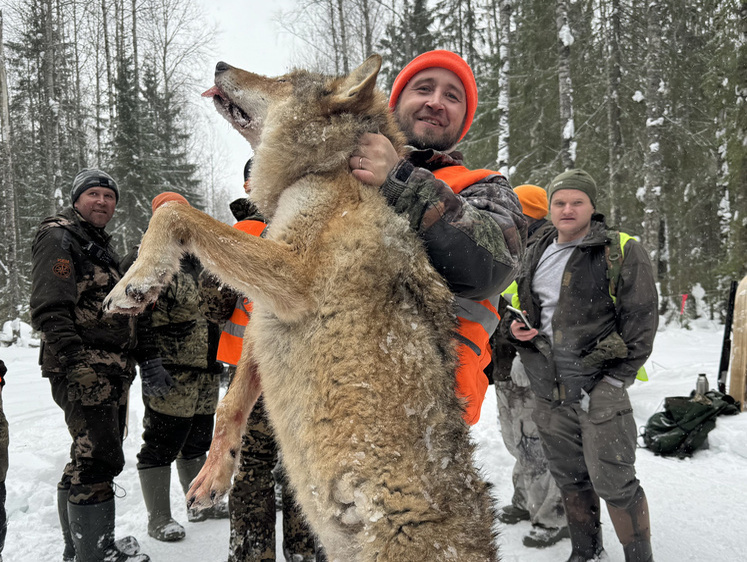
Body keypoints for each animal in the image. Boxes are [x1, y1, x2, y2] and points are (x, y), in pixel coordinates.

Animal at [105, 54, 500, 556]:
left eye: (283, 80)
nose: (220, 64)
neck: (327, 169)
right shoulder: (265, 313)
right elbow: (229, 405)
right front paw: (214, 474)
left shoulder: (292, 276)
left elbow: (174, 212)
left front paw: (135, 282)